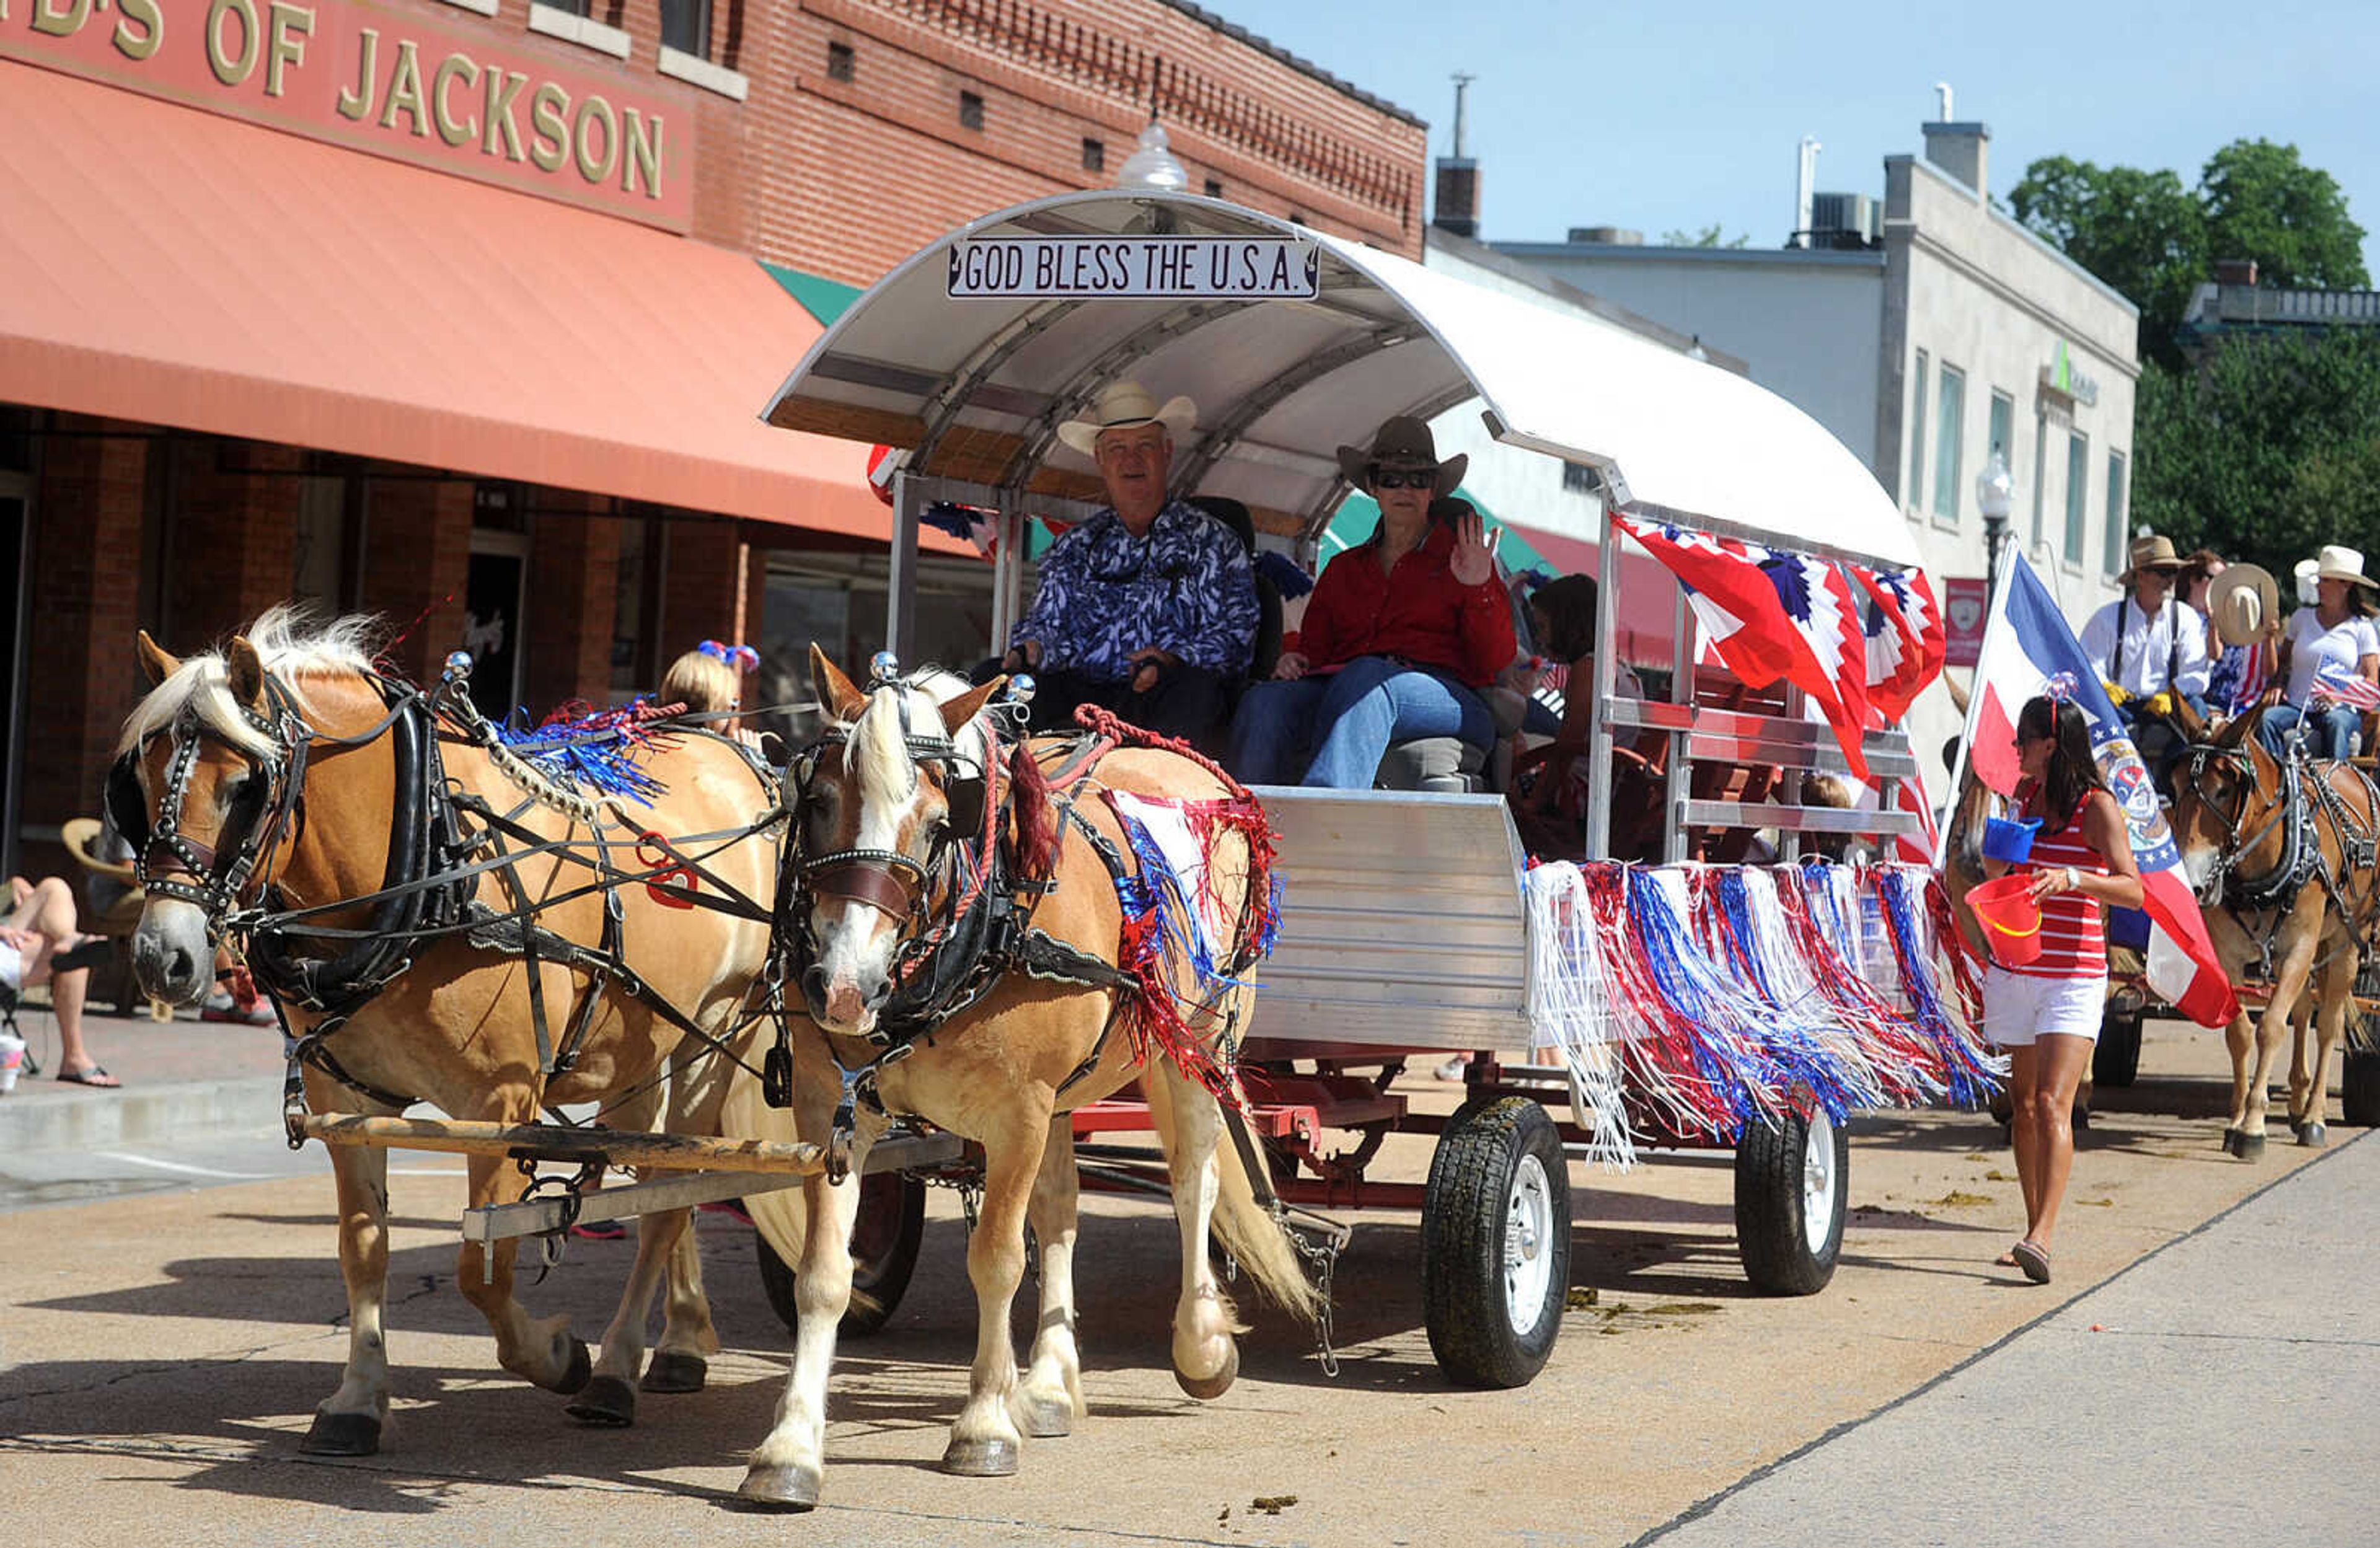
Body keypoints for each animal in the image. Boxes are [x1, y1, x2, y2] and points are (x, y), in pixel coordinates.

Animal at [118, 613, 780, 1455]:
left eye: (243, 785)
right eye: (140, 781)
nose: (160, 957)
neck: (426, 869)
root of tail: (730, 751)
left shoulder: (499, 1104)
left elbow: (481, 1268)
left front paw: (558, 1353)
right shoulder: (348, 1099)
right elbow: (362, 1247)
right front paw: (358, 1399)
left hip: (713, 1034)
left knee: (671, 1199)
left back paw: (616, 1368)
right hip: (639, 1050)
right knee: (663, 1178)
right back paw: (681, 1340)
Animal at [723, 646, 1323, 1512]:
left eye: (940, 820)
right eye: (821, 798)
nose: (841, 987)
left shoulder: (1018, 1111)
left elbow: (998, 1259)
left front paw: (982, 1424)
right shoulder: (830, 1105)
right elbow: (824, 1275)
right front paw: (791, 1445)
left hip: (1199, 1042)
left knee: (1194, 1182)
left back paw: (1200, 1341)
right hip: (1070, 1092)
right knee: (1064, 1206)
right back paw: (1046, 1380)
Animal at [2180, 708, 2380, 1155]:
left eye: (2224, 789)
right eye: (2177, 785)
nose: (2194, 882)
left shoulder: (2300, 946)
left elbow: (2271, 1026)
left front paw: (2253, 1127)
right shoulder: (2228, 954)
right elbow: (2239, 1031)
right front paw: (2236, 1119)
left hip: (2347, 938)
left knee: (2329, 1024)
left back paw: (2314, 1116)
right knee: (2305, 1010)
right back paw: (2299, 1098)